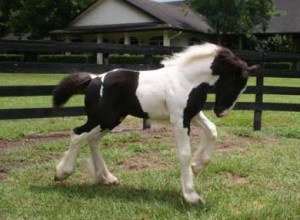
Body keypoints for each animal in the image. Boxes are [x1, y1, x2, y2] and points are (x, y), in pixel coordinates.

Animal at [52, 43, 258, 205]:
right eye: (235, 85)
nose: (221, 112)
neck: (186, 79)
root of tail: (93, 79)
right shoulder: (179, 119)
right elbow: (184, 154)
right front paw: (191, 195)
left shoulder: (192, 115)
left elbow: (212, 131)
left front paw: (197, 166)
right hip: (101, 118)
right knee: (77, 134)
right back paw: (62, 173)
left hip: (111, 120)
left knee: (92, 140)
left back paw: (106, 178)